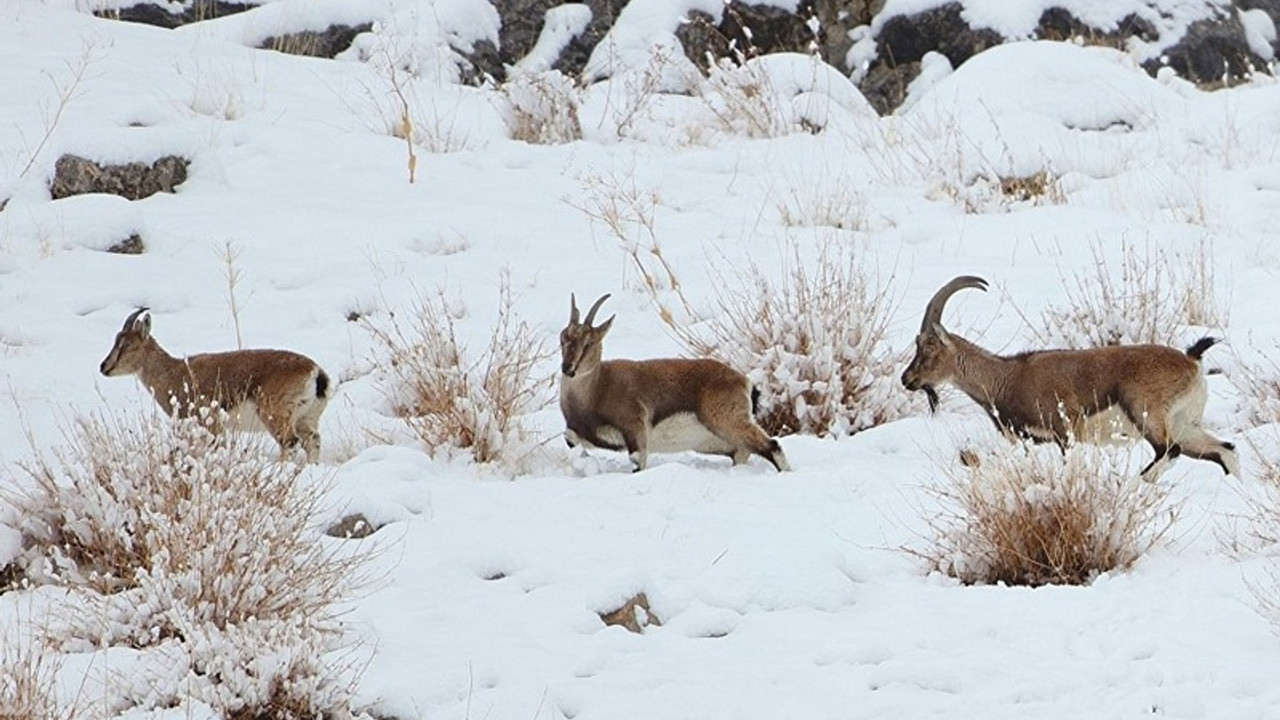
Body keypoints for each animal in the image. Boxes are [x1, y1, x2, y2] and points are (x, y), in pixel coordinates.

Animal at [99, 307, 332, 458]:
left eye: (127, 345)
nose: (104, 367)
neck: (174, 373)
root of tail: (315, 372)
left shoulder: (210, 424)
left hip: (275, 415)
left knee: (290, 443)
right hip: (306, 419)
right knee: (313, 442)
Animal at [560, 292, 788, 471]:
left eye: (588, 343)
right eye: (563, 339)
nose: (567, 368)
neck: (597, 388)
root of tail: (743, 381)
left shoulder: (635, 428)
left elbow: (637, 462)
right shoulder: (579, 434)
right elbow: (571, 439)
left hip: (727, 421)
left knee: (771, 446)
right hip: (715, 441)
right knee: (742, 452)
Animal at [901, 274, 1239, 481]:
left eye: (928, 346)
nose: (907, 379)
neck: (1007, 377)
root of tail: (1191, 360)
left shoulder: (1066, 432)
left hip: (1146, 413)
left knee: (1169, 452)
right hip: (1185, 425)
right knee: (1225, 451)